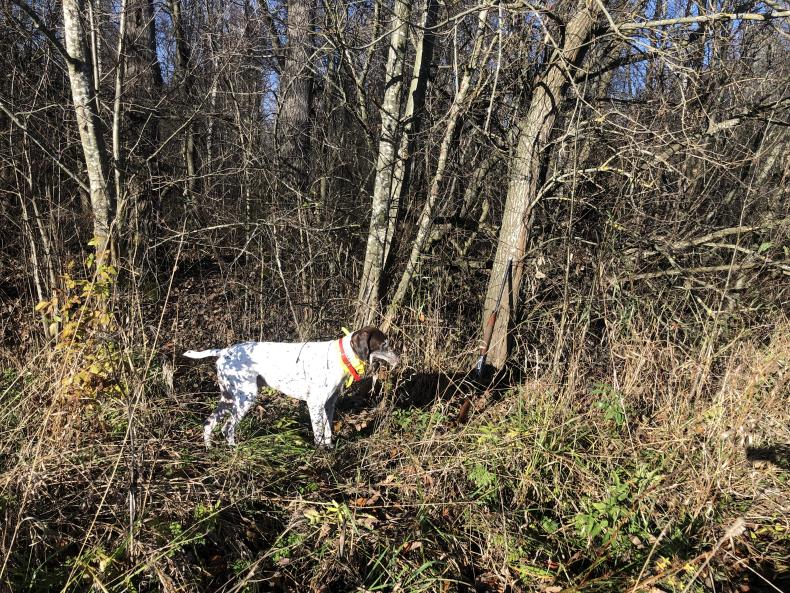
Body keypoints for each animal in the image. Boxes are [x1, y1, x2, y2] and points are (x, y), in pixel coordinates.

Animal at [183, 326, 399, 448]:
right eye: (384, 344)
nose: (398, 359)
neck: (341, 357)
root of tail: (224, 352)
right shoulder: (315, 403)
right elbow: (318, 433)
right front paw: (321, 454)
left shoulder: (329, 404)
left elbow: (328, 431)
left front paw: (330, 449)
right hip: (246, 397)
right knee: (227, 427)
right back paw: (233, 450)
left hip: (228, 398)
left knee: (209, 423)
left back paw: (210, 449)